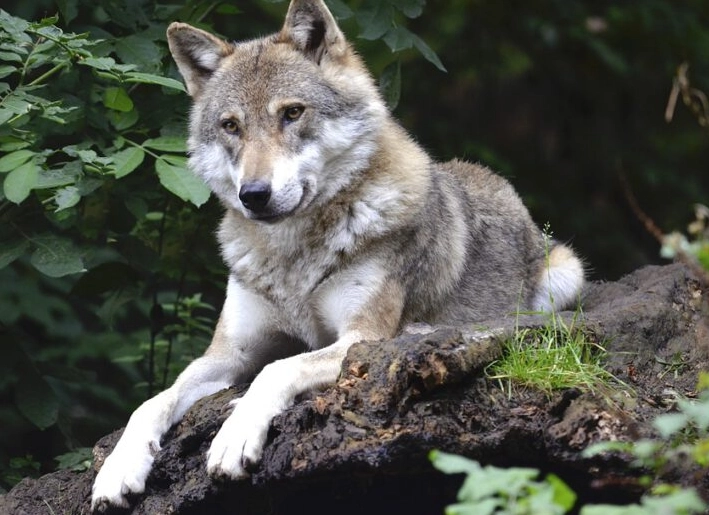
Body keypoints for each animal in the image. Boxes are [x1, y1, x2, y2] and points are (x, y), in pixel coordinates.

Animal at [91, 0, 584, 509]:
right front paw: (118, 468)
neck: (293, 257)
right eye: (231, 126)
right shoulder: (228, 353)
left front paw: (234, 435)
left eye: (292, 113)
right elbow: (153, 401)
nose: (254, 195)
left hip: (566, 274)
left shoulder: (360, 338)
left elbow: (276, 369)